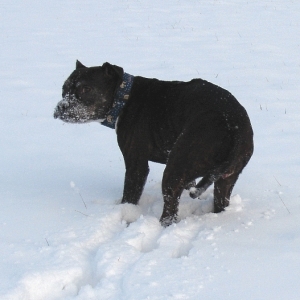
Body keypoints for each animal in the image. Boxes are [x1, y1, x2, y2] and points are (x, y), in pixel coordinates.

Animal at [54, 60, 253, 225]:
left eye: (86, 89)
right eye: (64, 89)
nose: (59, 108)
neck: (124, 97)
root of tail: (234, 128)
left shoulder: (136, 165)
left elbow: (129, 197)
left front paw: (125, 212)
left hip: (174, 172)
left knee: (170, 214)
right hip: (225, 179)